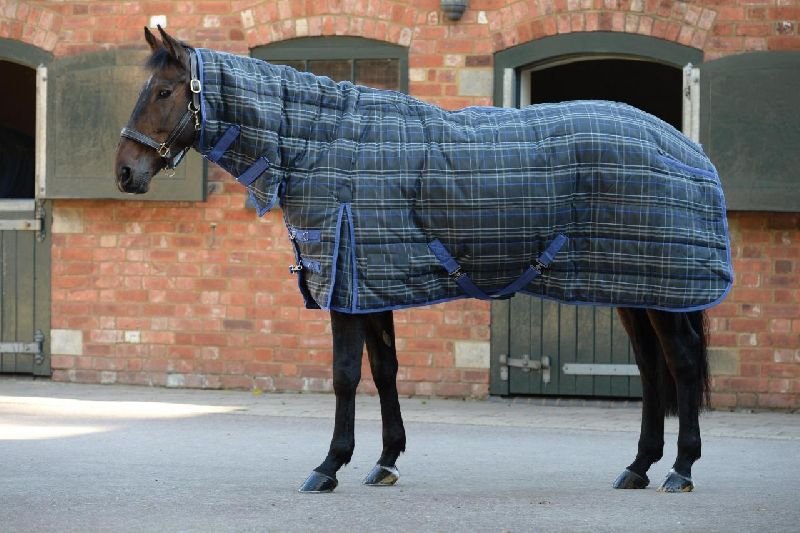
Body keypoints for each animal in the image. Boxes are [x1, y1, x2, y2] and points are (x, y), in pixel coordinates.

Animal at [115, 27, 732, 494]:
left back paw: (680, 469)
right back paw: (638, 467)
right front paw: (385, 461)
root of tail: (687, 147)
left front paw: (328, 465)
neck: (322, 144)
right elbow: (385, 370)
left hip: (665, 288)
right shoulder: (369, 283)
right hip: (635, 288)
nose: (124, 172)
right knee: (650, 370)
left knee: (678, 365)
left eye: (165, 91)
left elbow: (345, 375)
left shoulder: (346, 286)